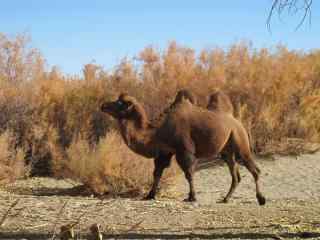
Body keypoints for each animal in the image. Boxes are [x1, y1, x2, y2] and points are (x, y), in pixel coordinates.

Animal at [101, 91, 266, 204]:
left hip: (240, 141)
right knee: (235, 175)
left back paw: (261, 199)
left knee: (254, 169)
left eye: (120, 103)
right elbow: (157, 173)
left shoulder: (184, 150)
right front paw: (150, 195)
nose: (103, 105)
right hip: (226, 151)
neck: (158, 130)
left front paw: (192, 197)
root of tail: (237, 121)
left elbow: (189, 173)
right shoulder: (165, 152)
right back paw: (225, 199)